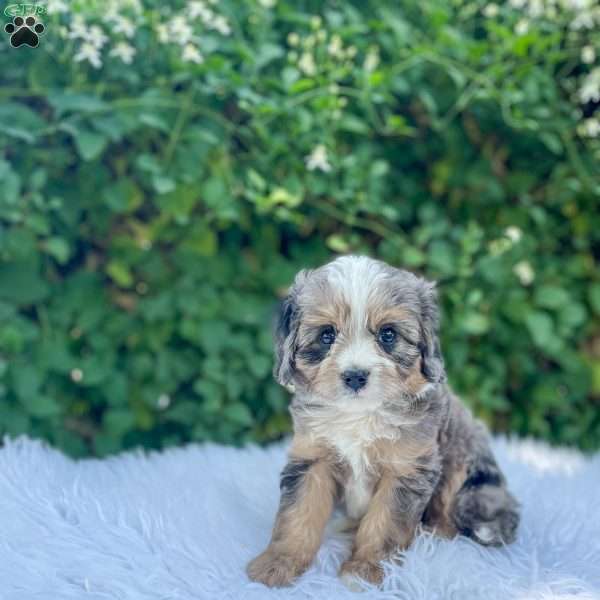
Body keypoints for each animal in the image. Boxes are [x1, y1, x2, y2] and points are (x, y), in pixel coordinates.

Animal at [246, 255, 516, 588]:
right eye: (326, 335)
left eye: (388, 335)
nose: (355, 376)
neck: (360, 414)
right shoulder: (312, 458)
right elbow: (297, 515)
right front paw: (278, 564)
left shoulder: (406, 470)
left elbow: (384, 523)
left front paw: (364, 571)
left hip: (467, 469)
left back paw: (435, 532)